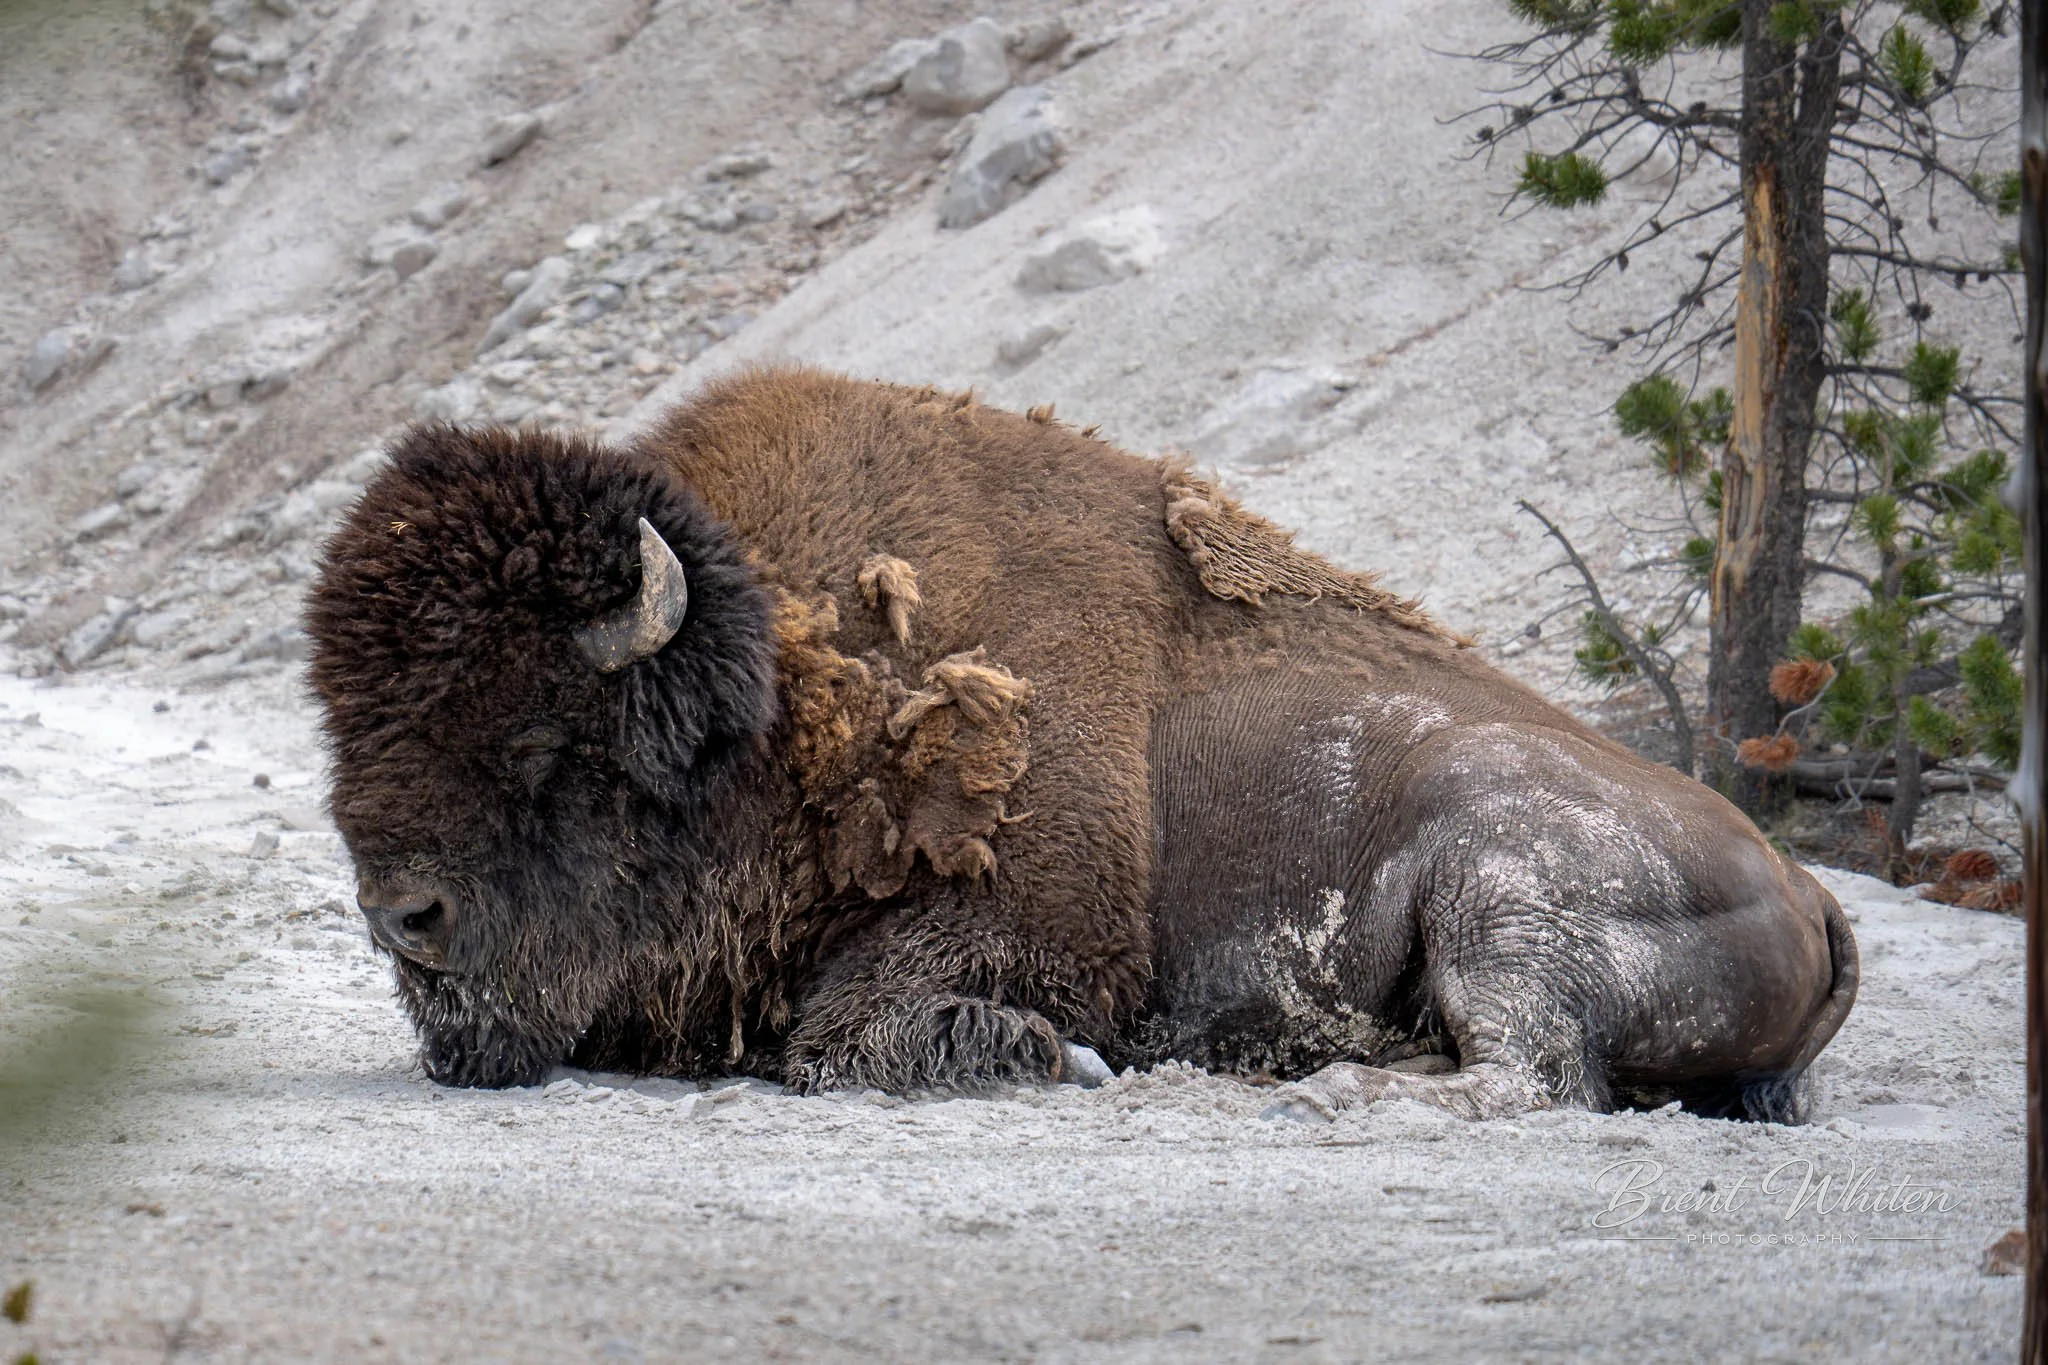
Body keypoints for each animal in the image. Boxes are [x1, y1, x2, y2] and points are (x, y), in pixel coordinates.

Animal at [306, 367, 1856, 1119]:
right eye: (346, 721)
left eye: (546, 743)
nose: (404, 917)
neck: (790, 701)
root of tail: (1808, 886)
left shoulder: (1047, 924)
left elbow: (846, 1035)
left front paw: (1060, 1060)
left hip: (1506, 890)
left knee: (1531, 1074)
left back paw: (1328, 1084)